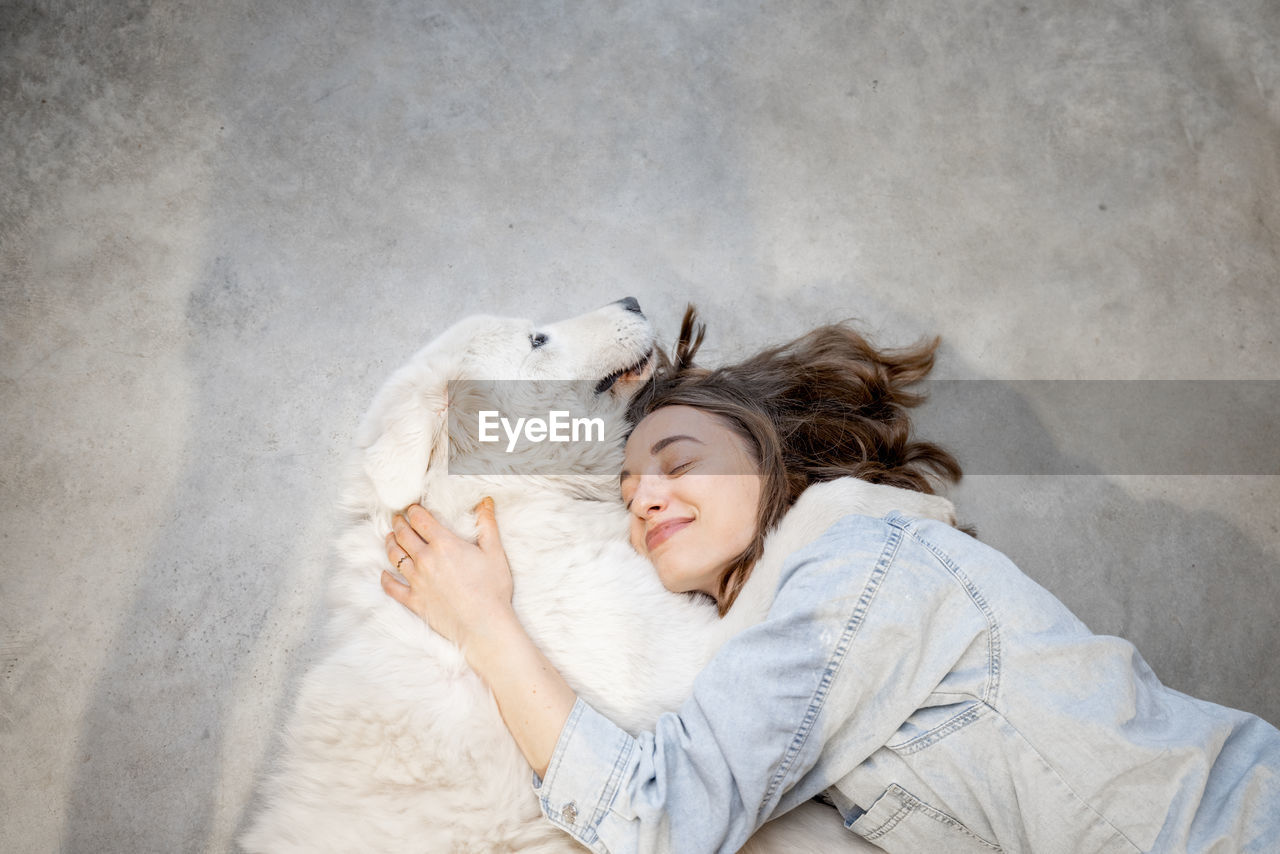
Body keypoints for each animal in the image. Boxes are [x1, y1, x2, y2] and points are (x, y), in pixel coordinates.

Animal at [244, 297, 957, 850]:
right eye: (537, 338)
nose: (633, 301)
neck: (501, 500)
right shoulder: (680, 667)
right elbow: (804, 524)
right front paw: (901, 506)